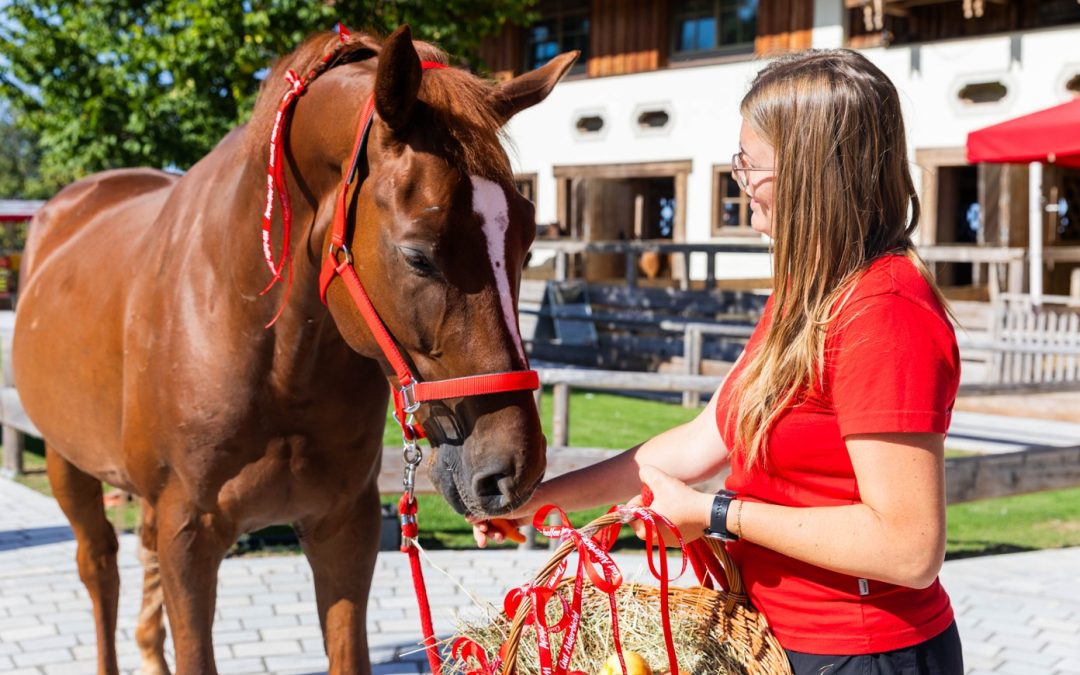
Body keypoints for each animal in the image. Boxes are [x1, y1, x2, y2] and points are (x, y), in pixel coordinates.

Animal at [13, 25, 577, 675]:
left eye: (527, 241)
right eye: (418, 253)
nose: (515, 469)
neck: (268, 350)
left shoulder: (344, 527)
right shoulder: (189, 536)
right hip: (67, 464)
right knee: (100, 569)